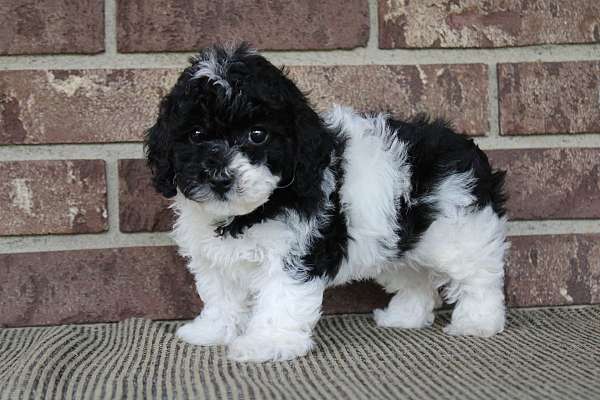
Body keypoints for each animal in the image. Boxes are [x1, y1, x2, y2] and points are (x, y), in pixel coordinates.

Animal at [144, 43, 506, 362]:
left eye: (257, 135)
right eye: (196, 135)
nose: (220, 177)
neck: (252, 212)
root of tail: (466, 148)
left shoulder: (293, 254)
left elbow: (279, 300)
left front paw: (266, 344)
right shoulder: (216, 260)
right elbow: (220, 295)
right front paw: (213, 331)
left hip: (459, 232)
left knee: (479, 276)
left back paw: (479, 321)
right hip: (398, 239)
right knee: (414, 276)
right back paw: (405, 316)